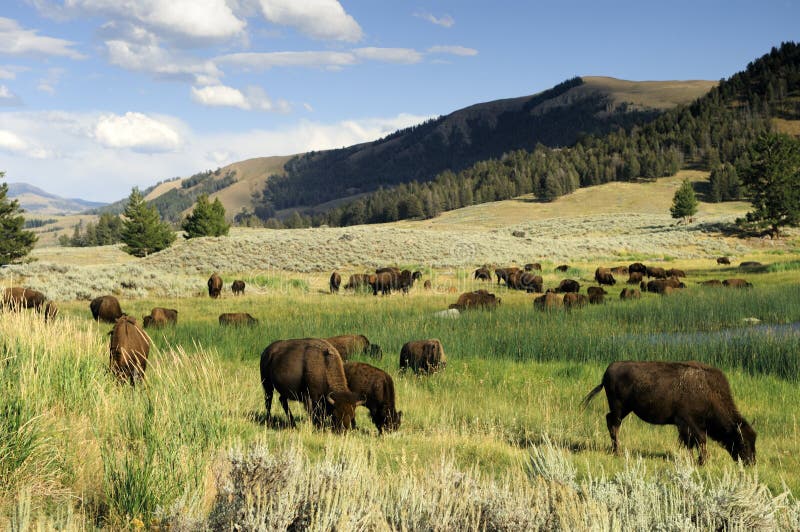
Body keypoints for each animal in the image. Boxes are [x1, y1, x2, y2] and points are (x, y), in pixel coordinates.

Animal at [580, 362, 756, 466]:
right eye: (743, 442)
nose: (751, 462)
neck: (708, 392)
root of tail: (608, 370)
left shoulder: (689, 427)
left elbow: (692, 443)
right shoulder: (689, 424)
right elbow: (699, 441)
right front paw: (701, 461)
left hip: (624, 410)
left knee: (610, 422)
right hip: (619, 409)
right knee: (613, 424)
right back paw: (618, 451)